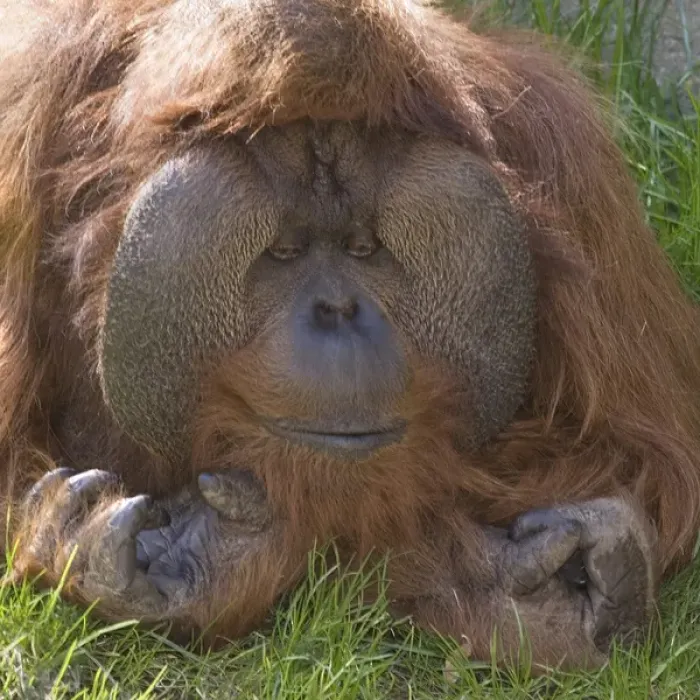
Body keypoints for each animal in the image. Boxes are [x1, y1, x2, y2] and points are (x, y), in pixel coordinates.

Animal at [1, 0, 699, 672]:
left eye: (364, 248)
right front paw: (156, 562)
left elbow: (655, 463)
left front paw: (552, 596)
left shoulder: (568, 165)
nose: (337, 310)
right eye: (284, 251)